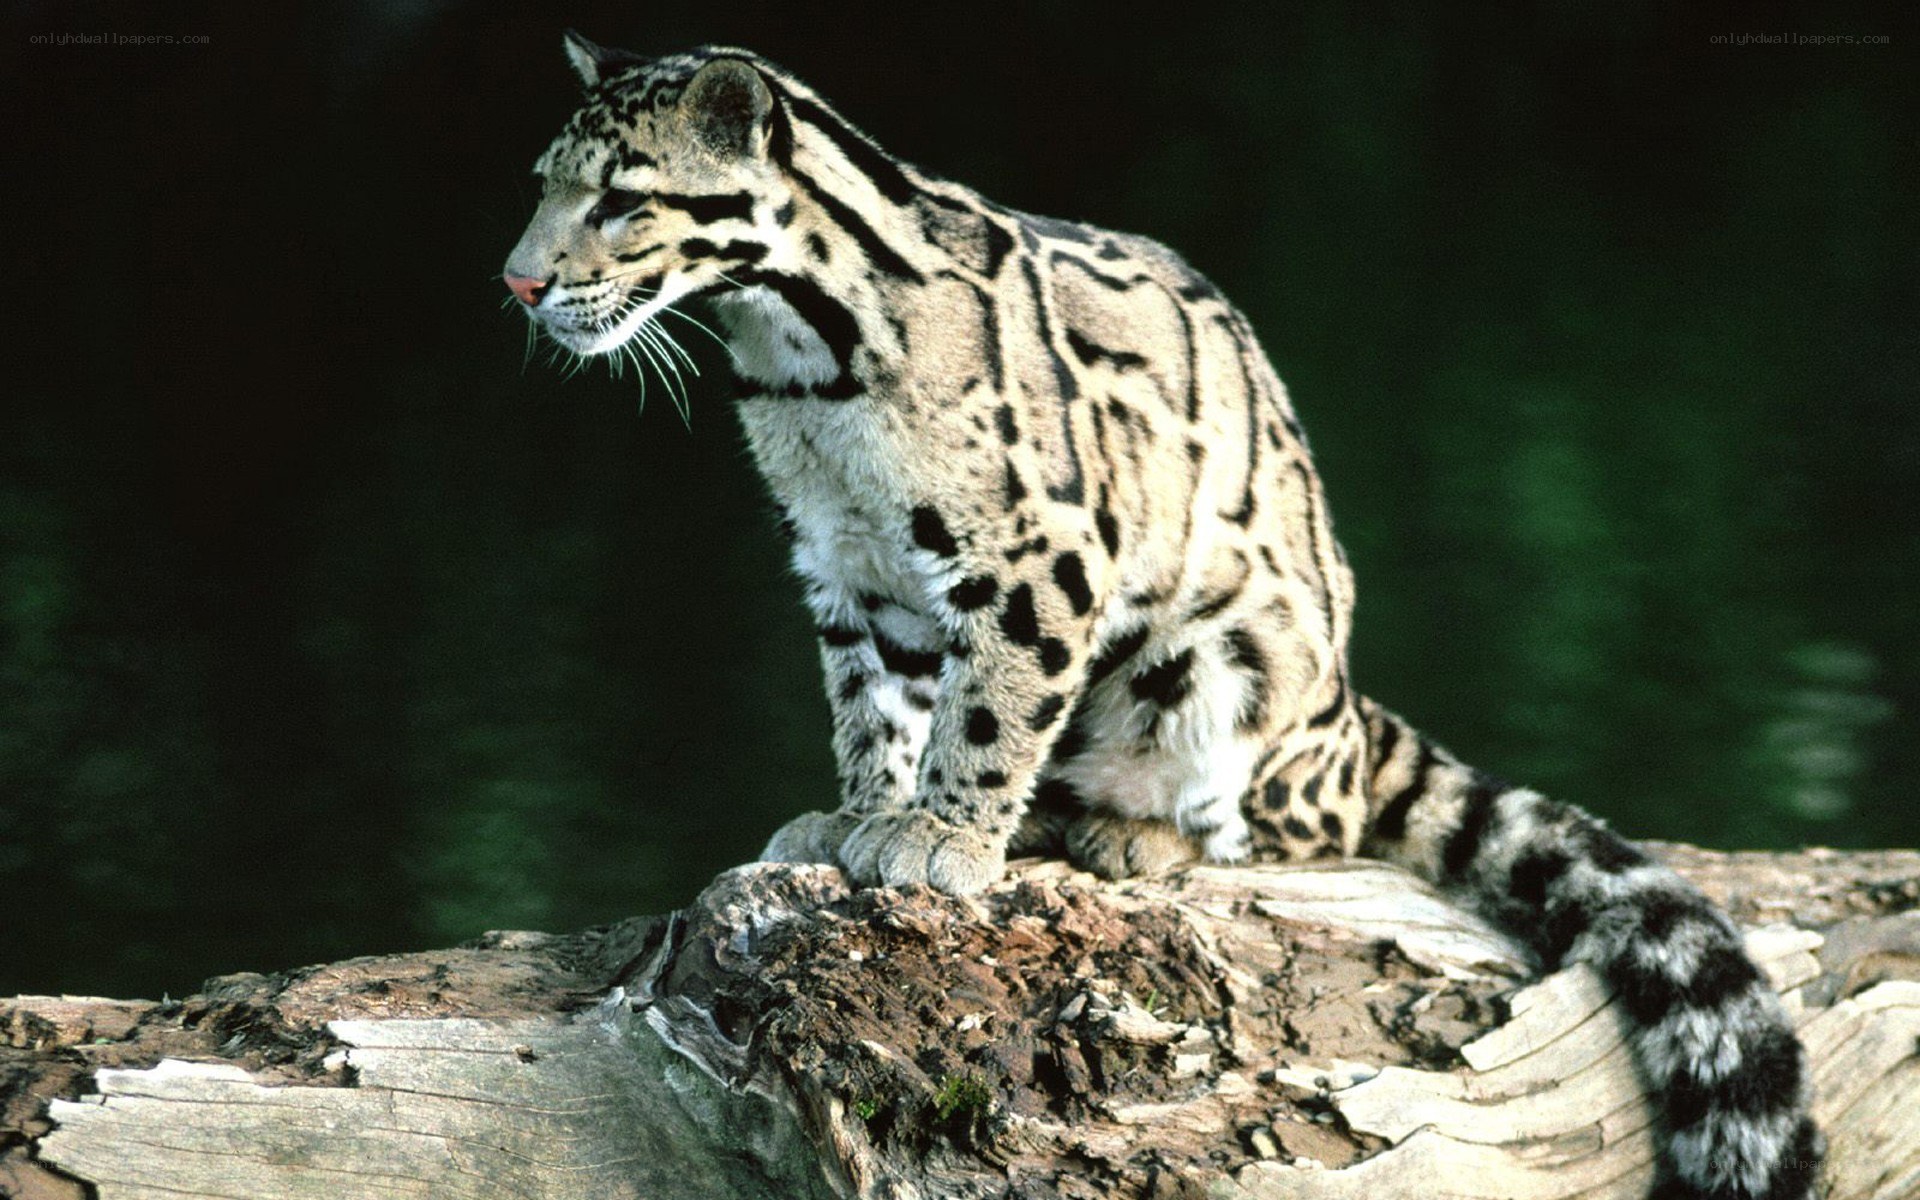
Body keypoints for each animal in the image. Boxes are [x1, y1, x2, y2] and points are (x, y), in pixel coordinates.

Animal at [503, 33, 1820, 1199]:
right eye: (542, 186)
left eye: (622, 199)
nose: (518, 279)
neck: (800, 363)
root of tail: (1354, 714)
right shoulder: (845, 563)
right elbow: (872, 705)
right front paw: (860, 815)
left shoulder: (1040, 548)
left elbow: (989, 709)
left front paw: (941, 839)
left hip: (1222, 663)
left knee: (1291, 828)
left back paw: (1136, 835)